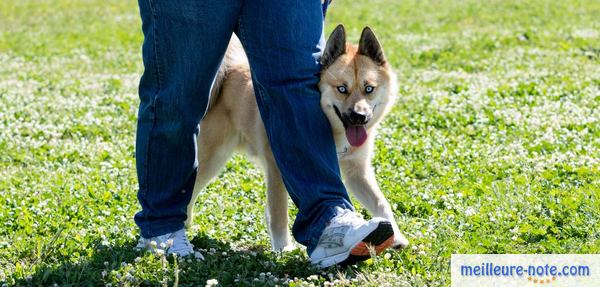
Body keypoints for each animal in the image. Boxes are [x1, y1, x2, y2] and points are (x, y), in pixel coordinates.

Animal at [185, 25, 410, 253]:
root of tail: (230, 69)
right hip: (212, 159)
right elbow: (279, 213)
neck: (332, 130)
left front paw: (395, 236)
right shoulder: (278, 170)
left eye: (369, 89)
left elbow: (381, 203)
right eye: (342, 89)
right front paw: (283, 248)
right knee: (190, 193)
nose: (359, 116)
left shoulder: (358, 172)